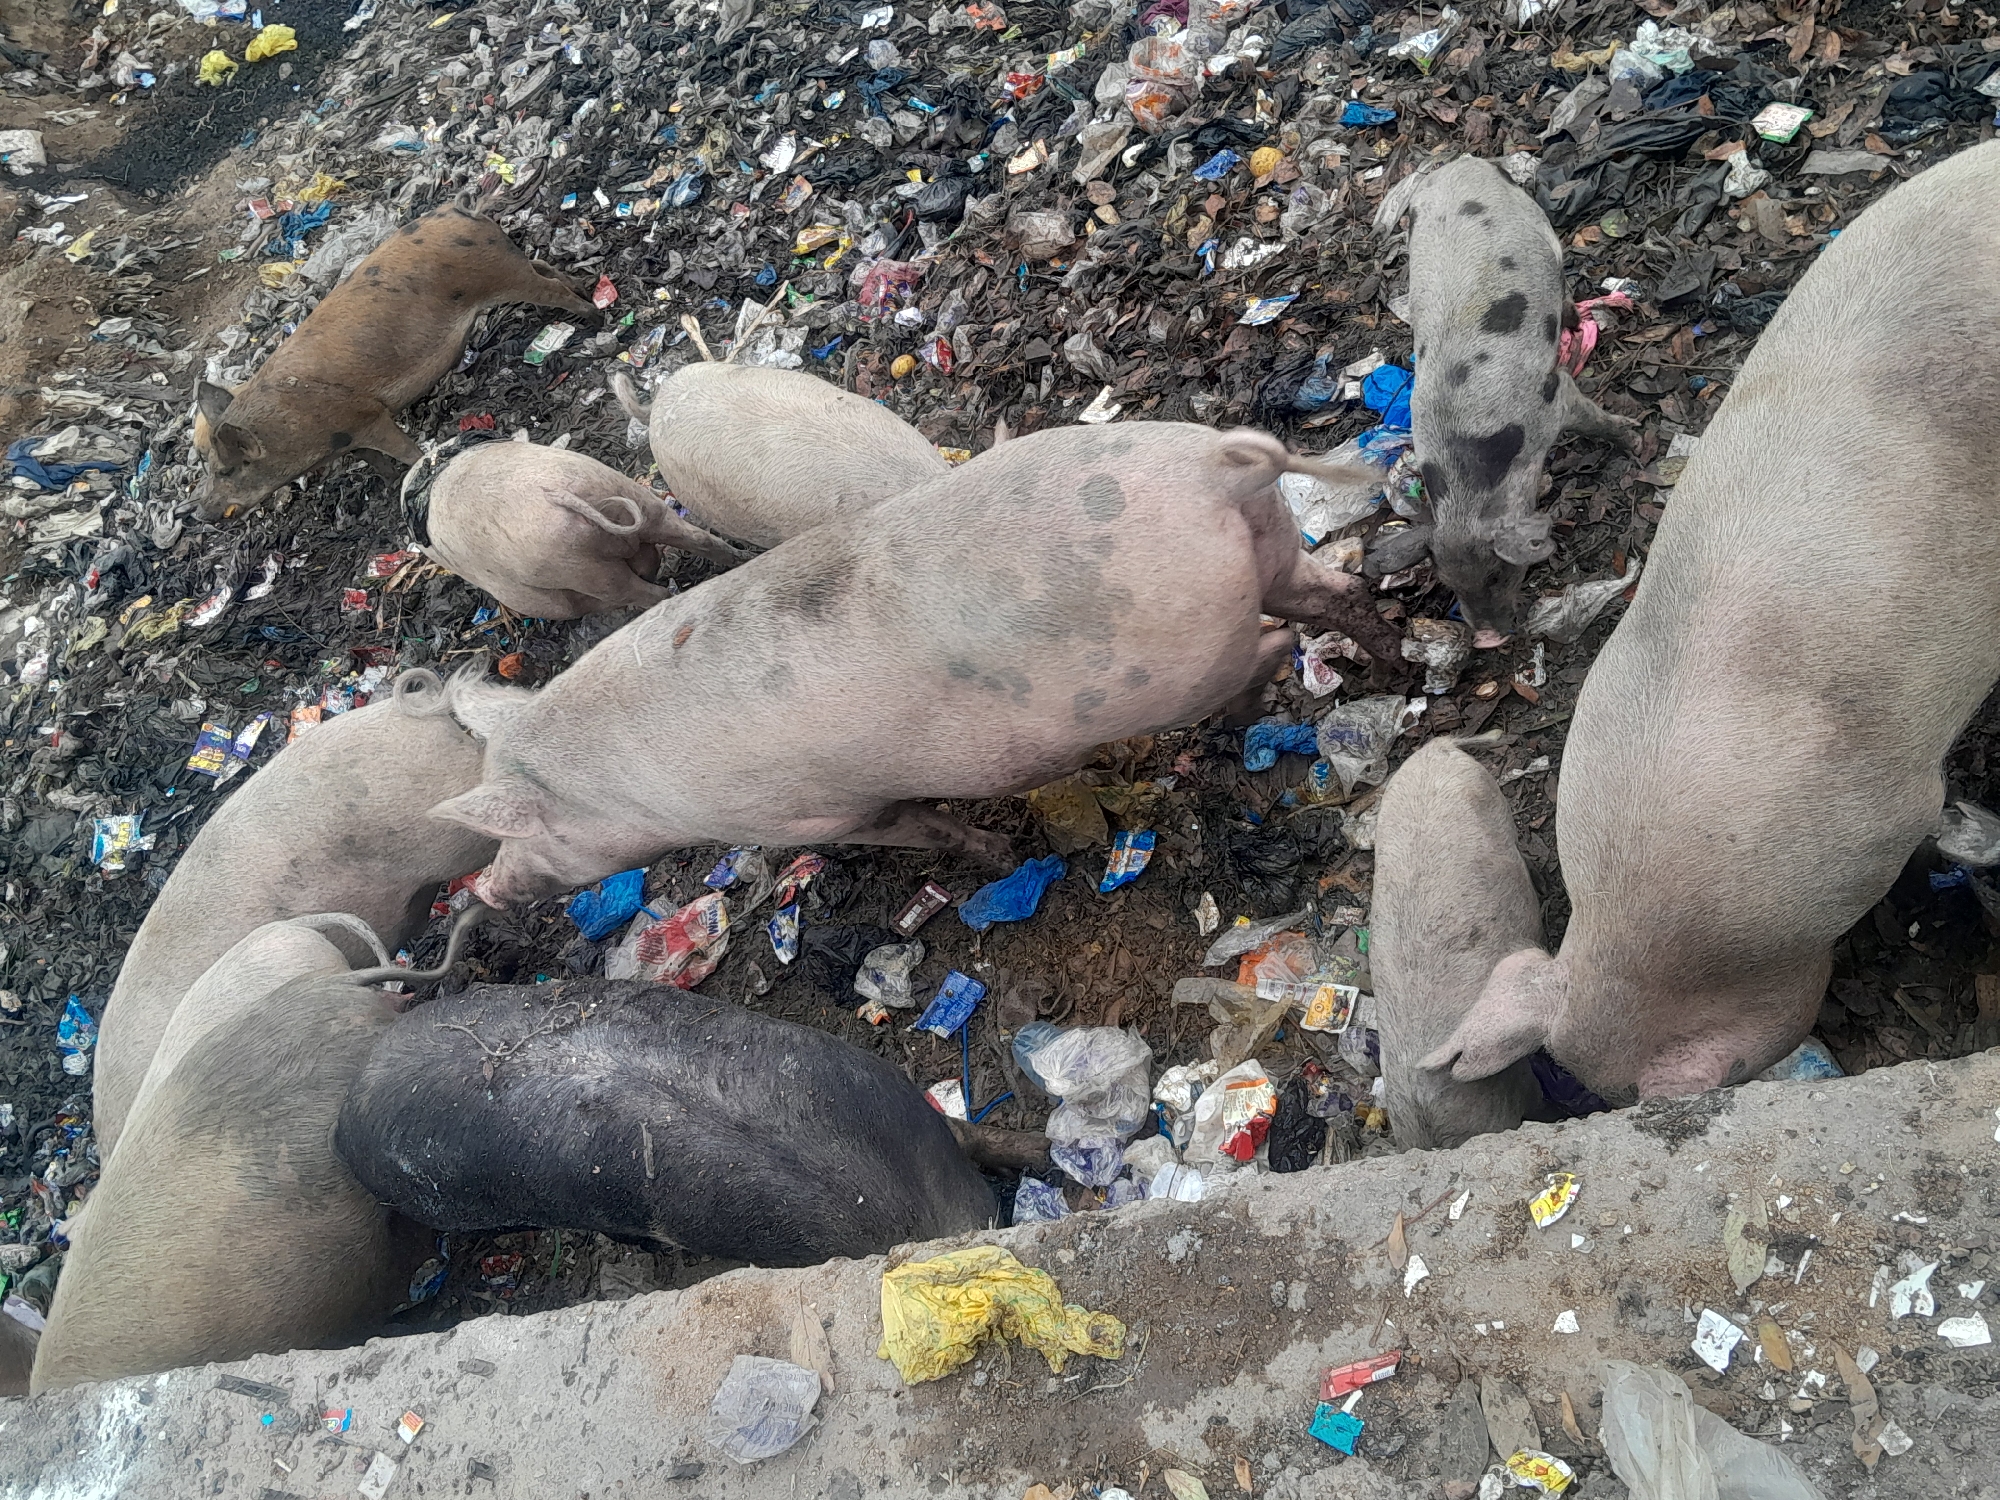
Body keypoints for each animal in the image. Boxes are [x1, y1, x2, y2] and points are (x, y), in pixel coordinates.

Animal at [192, 202, 594, 521]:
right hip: (514, 265)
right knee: (543, 265)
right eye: (211, 467)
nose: (200, 513)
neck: (291, 432)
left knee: (550, 288)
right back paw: (586, 294)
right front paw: (388, 484)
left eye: (227, 470)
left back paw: (593, 316)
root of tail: (458, 210)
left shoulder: (368, 416)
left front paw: (415, 468)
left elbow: (403, 450)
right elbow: (376, 461)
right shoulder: (347, 439)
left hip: (505, 274)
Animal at [409, 435, 749, 617]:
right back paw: (740, 560)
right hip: (628, 494)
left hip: (571, 562)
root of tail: (555, 495)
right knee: (699, 539)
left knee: (641, 594)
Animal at [1374, 156, 1639, 643]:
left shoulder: (1553, 398)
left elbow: (1593, 418)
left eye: (1498, 573)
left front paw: (1635, 442)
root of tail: (1461, 163)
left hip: (1540, 226)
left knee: (1564, 286)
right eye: (1449, 581)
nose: (1486, 638)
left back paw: (1576, 323)